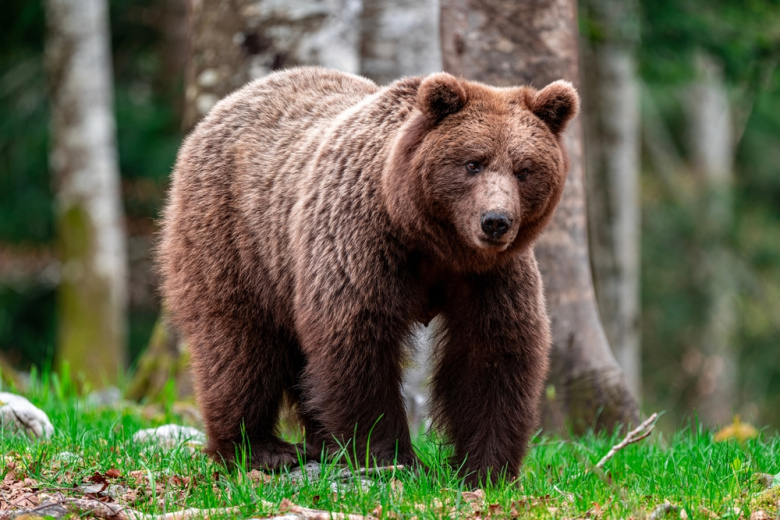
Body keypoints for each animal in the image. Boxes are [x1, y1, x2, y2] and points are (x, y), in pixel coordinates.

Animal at [158, 67, 578, 486]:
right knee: (239, 344)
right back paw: (261, 449)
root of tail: (228, 102)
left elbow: (491, 355)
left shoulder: (490, 276)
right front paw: (392, 457)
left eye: (524, 170)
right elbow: (359, 343)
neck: (432, 242)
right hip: (235, 237)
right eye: (473, 163)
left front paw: (486, 469)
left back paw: (320, 444)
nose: (495, 221)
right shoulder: (362, 243)